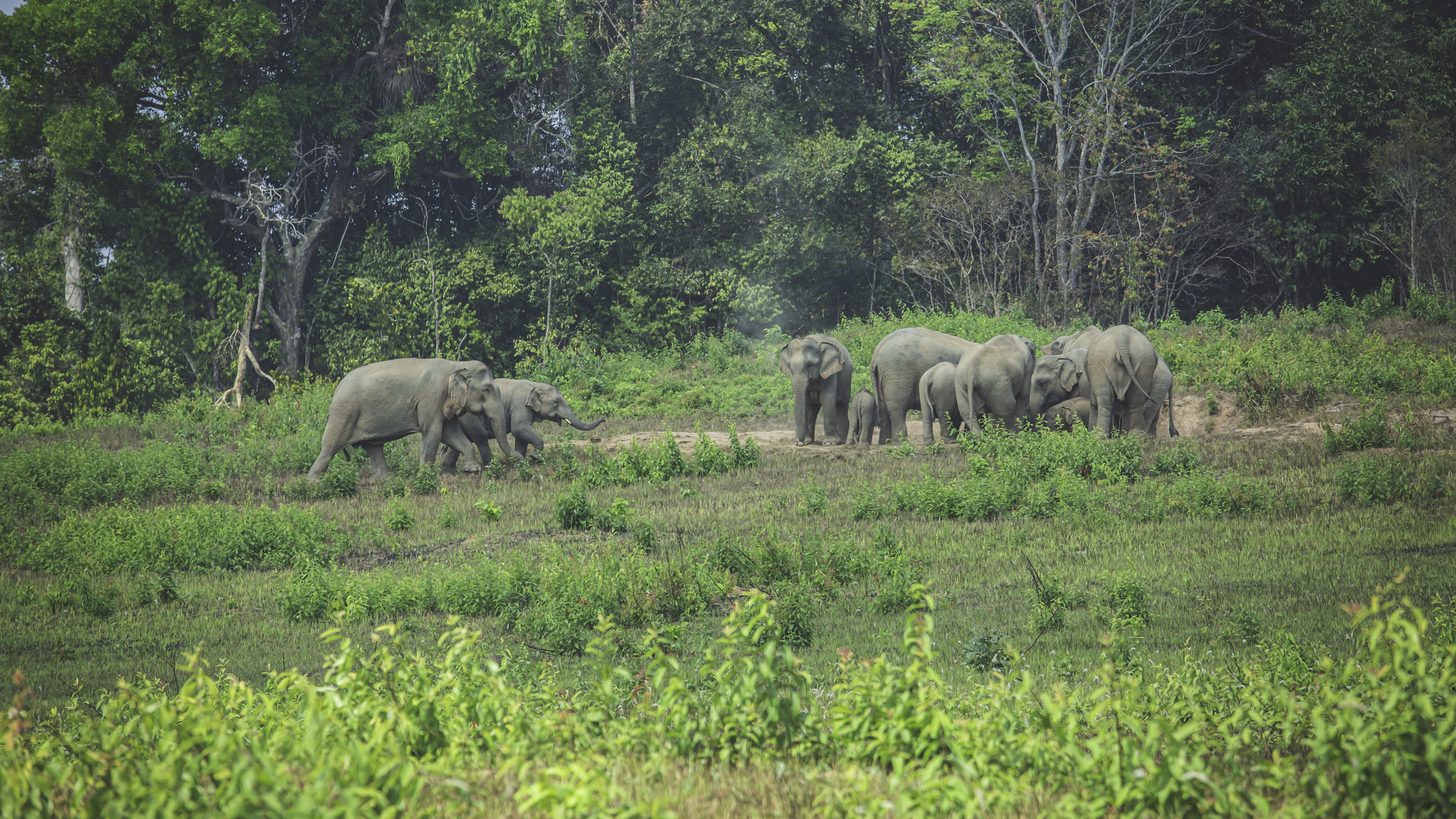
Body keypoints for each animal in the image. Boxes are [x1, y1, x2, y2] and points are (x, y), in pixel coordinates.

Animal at [308, 358, 515, 481]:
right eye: (487, 389)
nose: (519, 462)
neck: (455, 365)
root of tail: (337, 389)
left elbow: (452, 434)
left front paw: (472, 470)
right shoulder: (430, 398)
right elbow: (433, 432)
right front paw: (425, 476)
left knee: (373, 447)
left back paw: (383, 479)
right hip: (344, 414)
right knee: (329, 446)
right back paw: (313, 481)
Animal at [442, 378, 606, 468]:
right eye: (556, 402)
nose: (604, 418)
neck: (534, 385)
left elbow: (521, 437)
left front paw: (521, 463)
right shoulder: (520, 405)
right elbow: (519, 428)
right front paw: (535, 458)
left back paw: (450, 471)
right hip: (470, 418)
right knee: (480, 438)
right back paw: (489, 467)